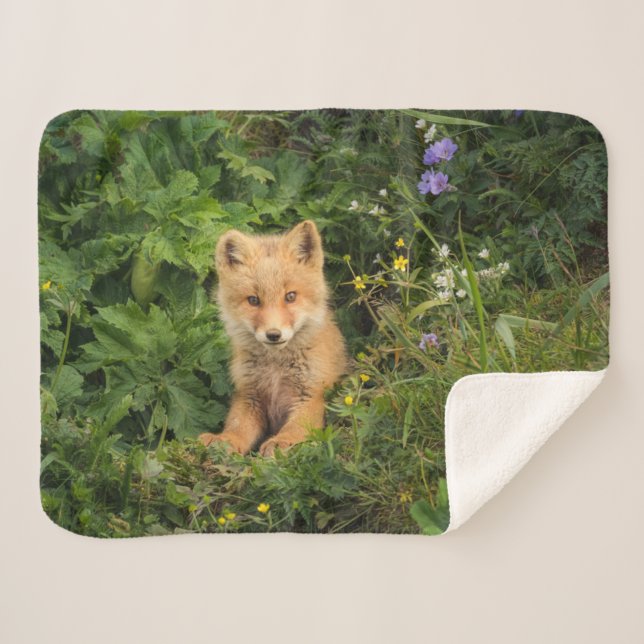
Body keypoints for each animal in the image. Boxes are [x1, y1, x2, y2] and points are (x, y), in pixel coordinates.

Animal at [199, 220, 347, 456]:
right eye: (253, 300)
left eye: (290, 296)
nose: (274, 334)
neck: (276, 369)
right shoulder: (249, 396)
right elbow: (237, 427)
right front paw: (224, 440)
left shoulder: (311, 396)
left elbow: (295, 428)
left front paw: (282, 441)